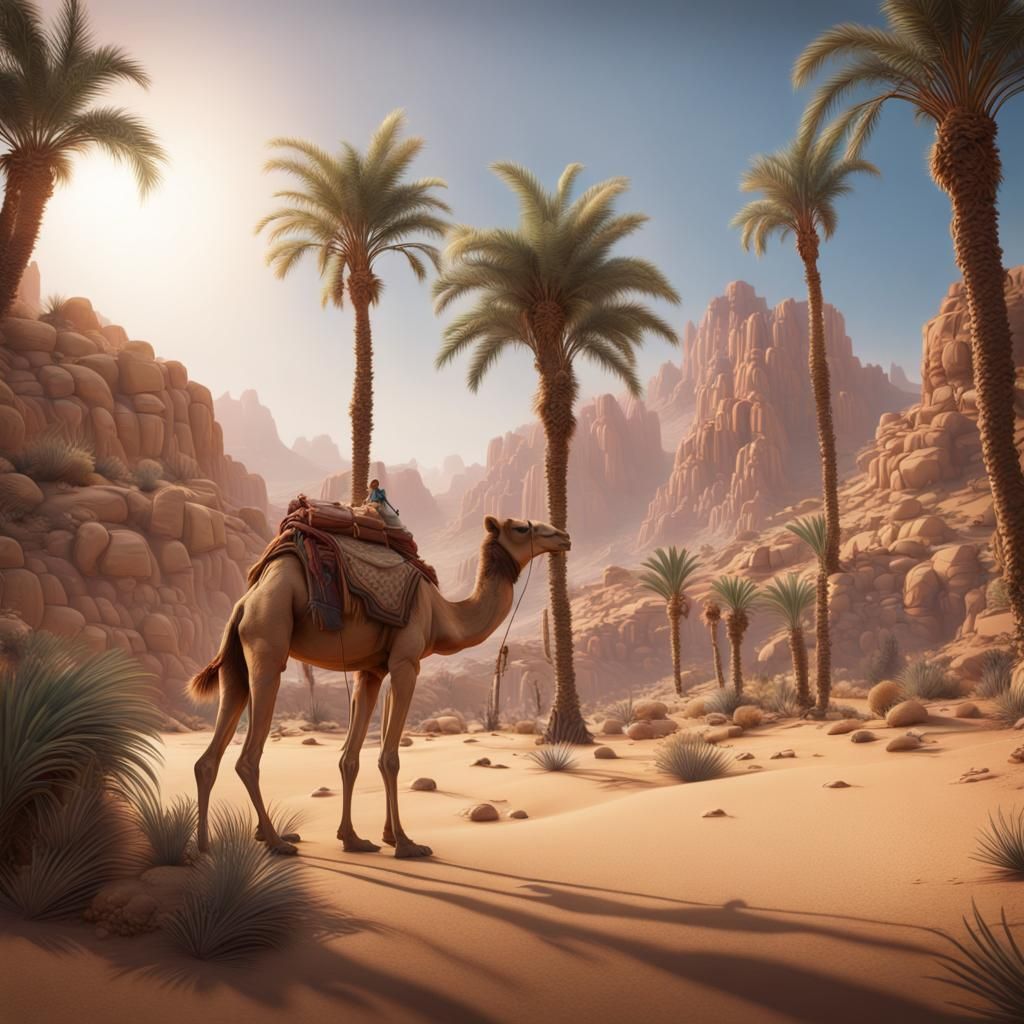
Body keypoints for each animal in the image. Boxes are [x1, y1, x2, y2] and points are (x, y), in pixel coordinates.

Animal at [188, 514, 570, 859]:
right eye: (521, 527)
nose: (563, 536)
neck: (443, 614)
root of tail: (245, 602)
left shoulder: (372, 671)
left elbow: (350, 758)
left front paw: (358, 838)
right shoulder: (406, 662)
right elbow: (390, 757)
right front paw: (406, 843)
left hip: (235, 664)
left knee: (208, 758)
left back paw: (204, 847)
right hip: (268, 641)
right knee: (247, 757)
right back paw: (275, 841)